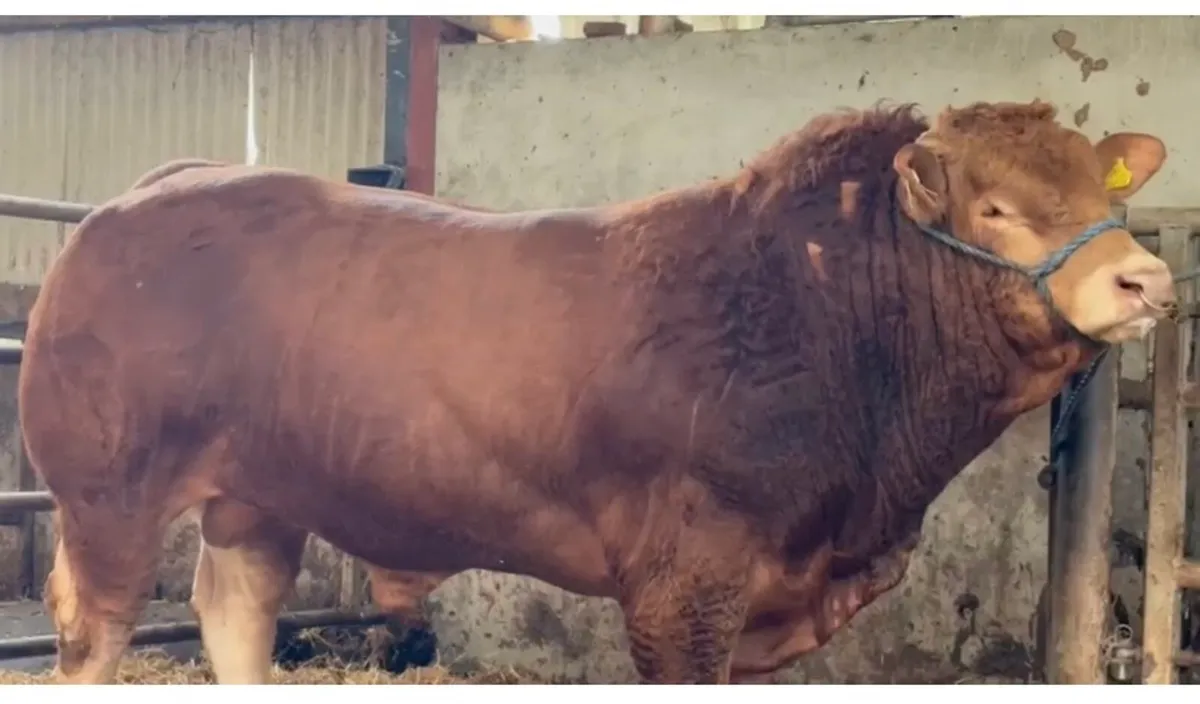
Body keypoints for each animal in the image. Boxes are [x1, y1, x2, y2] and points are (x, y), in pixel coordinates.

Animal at [19, 100, 1177, 685]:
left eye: (1098, 189)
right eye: (995, 207)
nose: (1146, 278)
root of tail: (152, 190)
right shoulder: (686, 587)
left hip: (254, 498)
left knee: (235, 614)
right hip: (107, 494)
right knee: (96, 635)